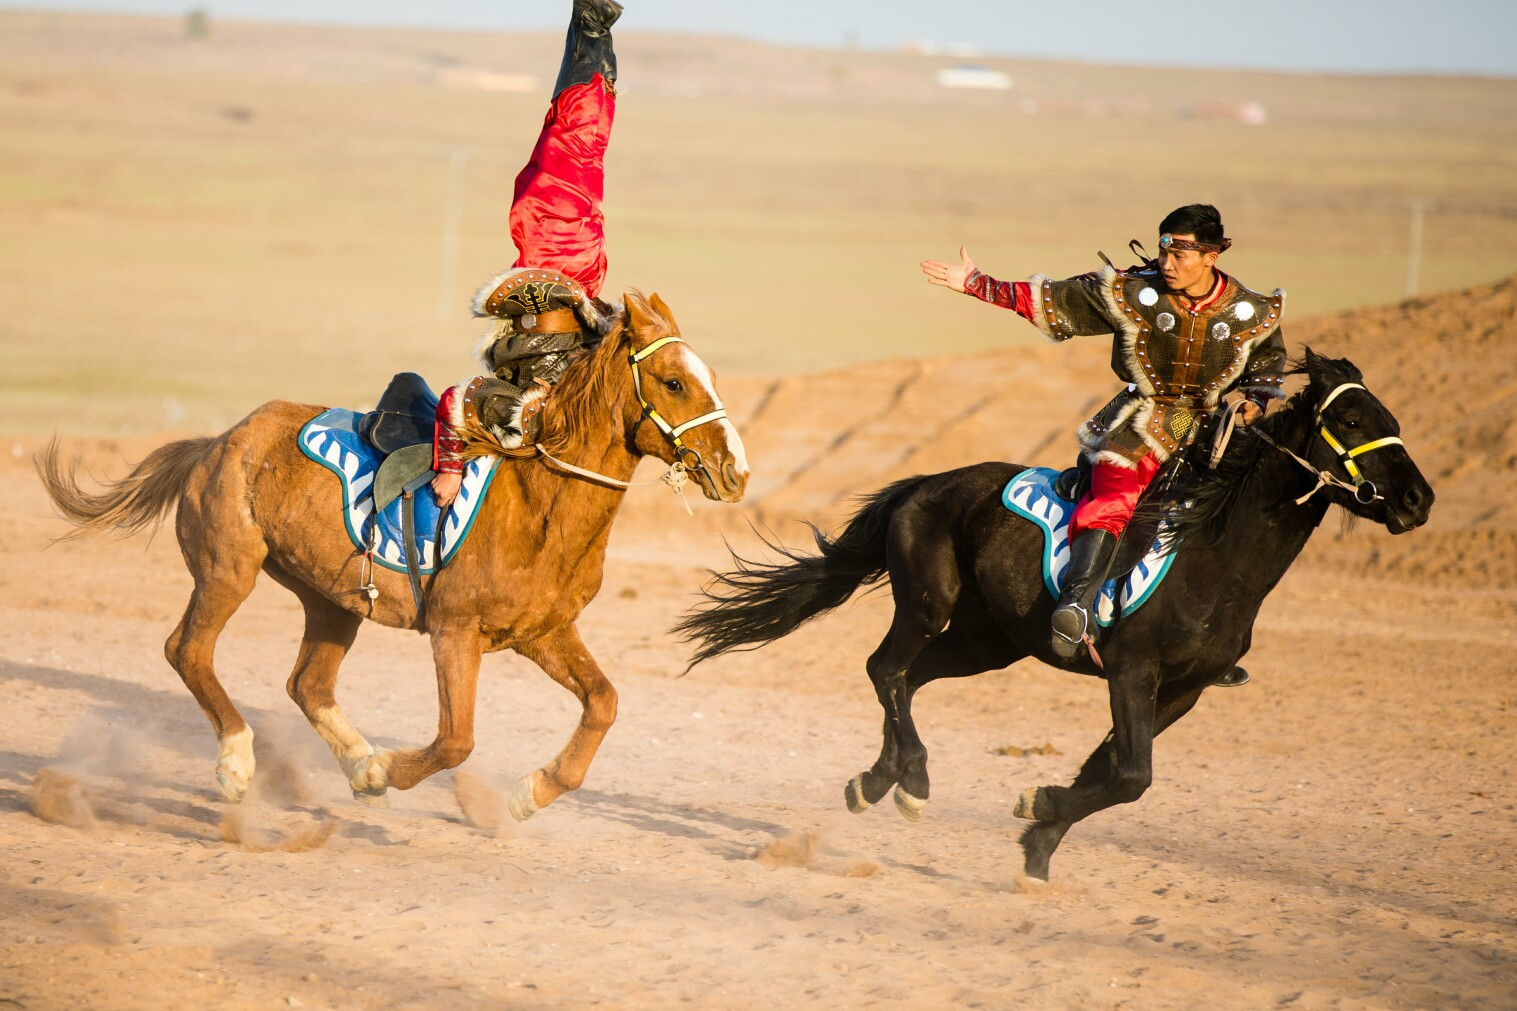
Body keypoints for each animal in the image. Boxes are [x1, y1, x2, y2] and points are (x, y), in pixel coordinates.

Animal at [35, 289, 746, 819]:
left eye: (710, 378)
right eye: (674, 382)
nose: (733, 470)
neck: (538, 503)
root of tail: (217, 442)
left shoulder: (542, 632)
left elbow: (604, 702)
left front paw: (530, 792)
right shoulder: (455, 632)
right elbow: (456, 740)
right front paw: (386, 770)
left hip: (333, 599)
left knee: (307, 683)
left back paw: (354, 761)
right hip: (227, 571)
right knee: (188, 650)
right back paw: (239, 763)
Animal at [679, 350, 1432, 880]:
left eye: (1393, 421)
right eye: (1352, 422)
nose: (1417, 499)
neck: (1212, 554)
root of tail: (925, 484)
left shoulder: (1181, 692)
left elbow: (1106, 772)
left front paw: (1038, 846)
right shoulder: (1131, 671)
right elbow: (1129, 776)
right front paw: (1037, 810)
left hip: (988, 642)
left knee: (909, 678)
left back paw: (879, 781)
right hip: (928, 603)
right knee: (884, 667)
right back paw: (908, 780)